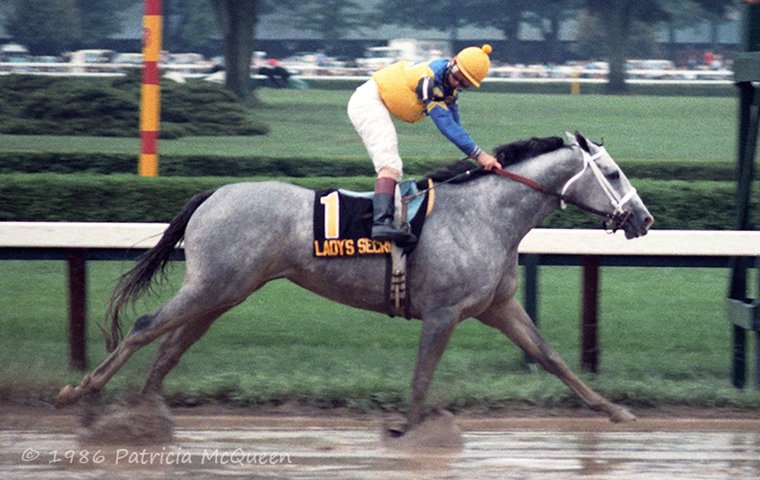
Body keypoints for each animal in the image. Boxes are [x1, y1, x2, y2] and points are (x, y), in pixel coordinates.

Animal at [56, 131, 653, 433]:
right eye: (614, 173)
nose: (643, 219)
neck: (485, 215)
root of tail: (214, 193)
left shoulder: (497, 306)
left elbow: (552, 357)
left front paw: (614, 410)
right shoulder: (443, 312)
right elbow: (422, 375)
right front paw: (409, 432)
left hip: (224, 291)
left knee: (171, 344)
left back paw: (145, 412)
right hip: (212, 286)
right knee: (145, 326)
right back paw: (82, 394)